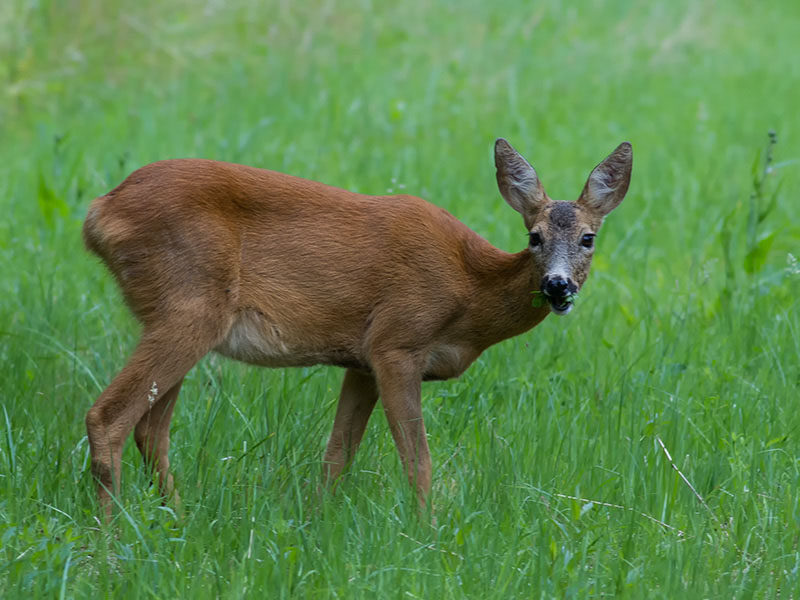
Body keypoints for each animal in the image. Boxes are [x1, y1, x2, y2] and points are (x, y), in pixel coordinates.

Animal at [81, 137, 632, 520]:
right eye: (534, 236)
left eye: (588, 238)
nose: (557, 286)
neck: (469, 292)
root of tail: (99, 212)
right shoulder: (396, 340)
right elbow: (418, 460)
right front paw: (427, 532)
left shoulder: (360, 361)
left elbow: (336, 456)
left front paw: (316, 524)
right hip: (189, 305)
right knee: (109, 417)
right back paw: (111, 541)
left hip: (176, 315)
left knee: (151, 429)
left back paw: (178, 520)